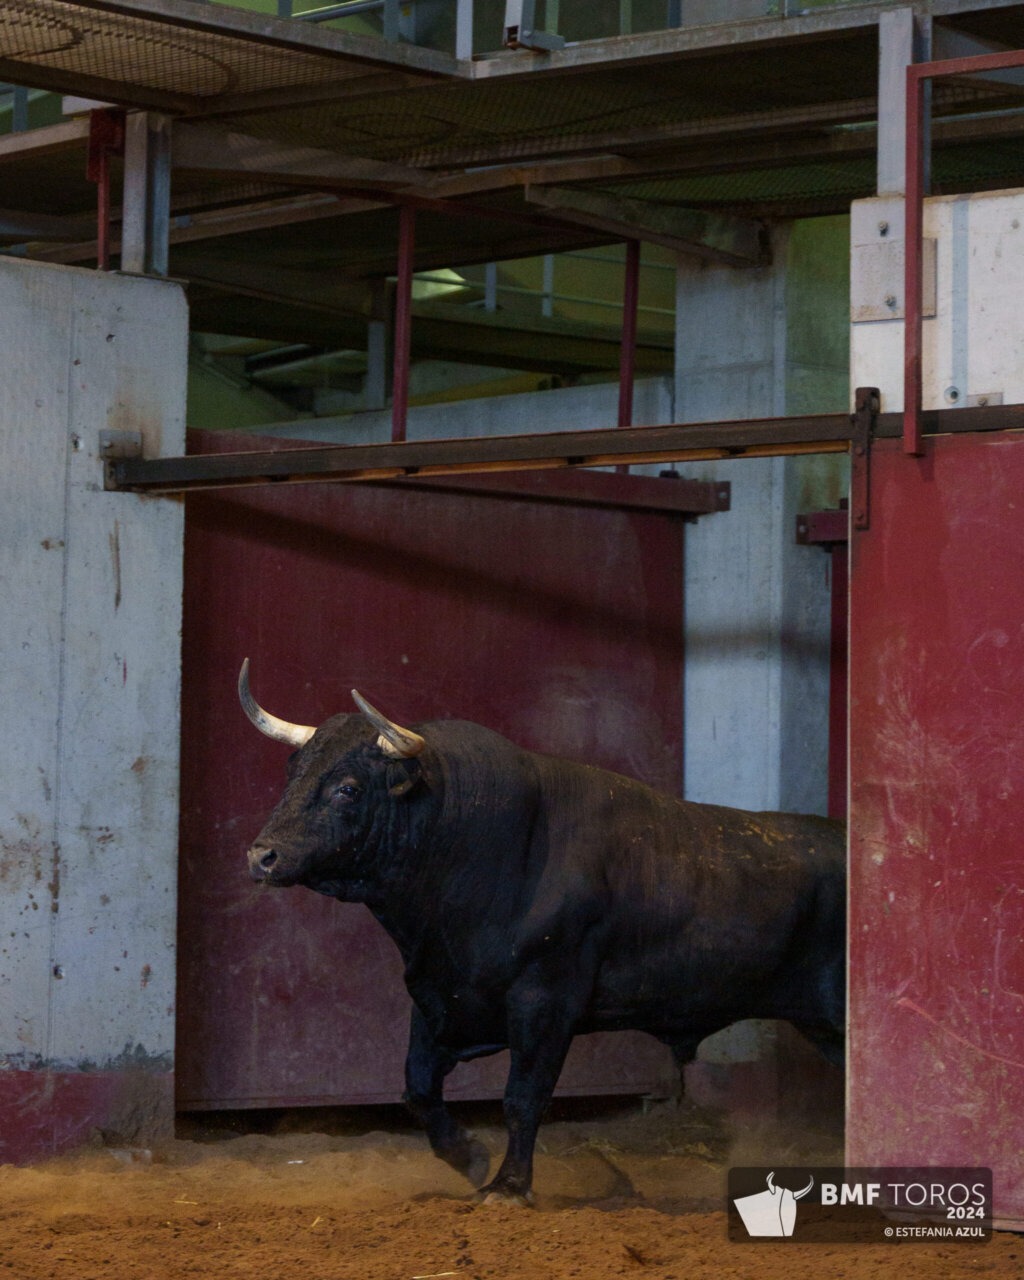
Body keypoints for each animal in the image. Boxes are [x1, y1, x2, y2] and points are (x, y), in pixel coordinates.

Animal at [239, 660, 845, 1205]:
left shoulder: (544, 1001)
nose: (261, 857)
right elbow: (418, 1087)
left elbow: (522, 1098)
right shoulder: (439, 995)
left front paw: (508, 1185)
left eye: (346, 788)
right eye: (293, 773)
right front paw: (469, 1156)